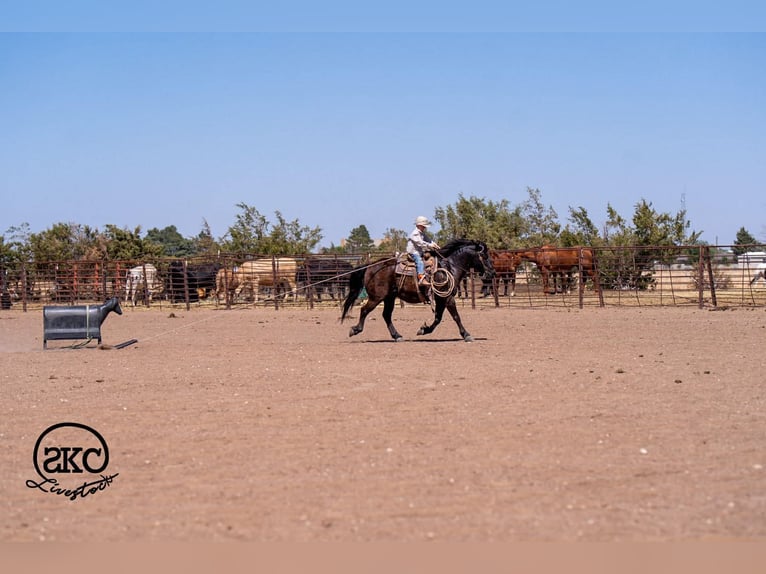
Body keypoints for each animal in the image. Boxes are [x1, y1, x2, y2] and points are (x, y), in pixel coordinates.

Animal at [341, 239, 495, 342]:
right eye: (484, 256)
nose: (492, 273)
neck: (449, 267)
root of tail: (371, 266)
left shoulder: (440, 299)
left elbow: (438, 318)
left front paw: (423, 330)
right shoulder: (447, 298)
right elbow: (456, 317)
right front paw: (466, 335)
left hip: (389, 297)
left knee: (386, 315)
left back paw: (397, 336)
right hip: (376, 297)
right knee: (364, 310)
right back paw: (355, 330)